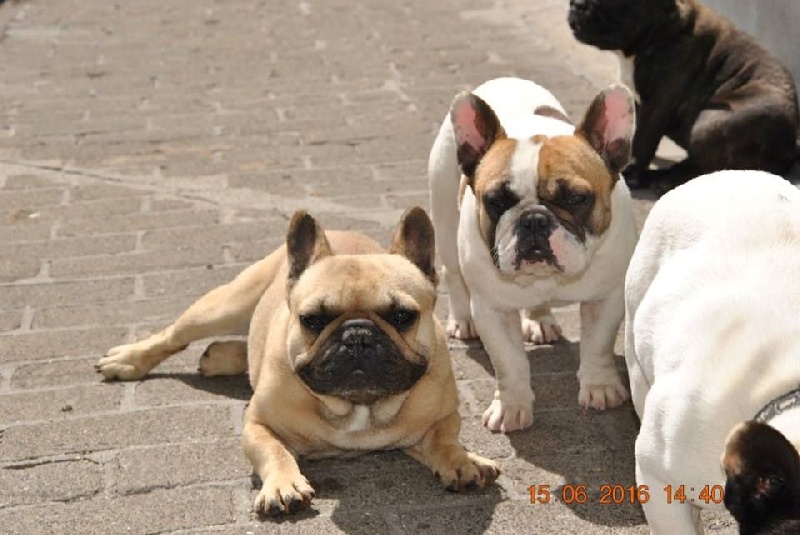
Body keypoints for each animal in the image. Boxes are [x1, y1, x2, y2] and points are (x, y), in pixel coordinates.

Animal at [95, 207, 500, 516]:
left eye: (402, 316)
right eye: (312, 320)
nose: (357, 335)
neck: (360, 407)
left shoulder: (440, 417)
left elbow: (444, 439)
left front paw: (463, 461)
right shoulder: (258, 424)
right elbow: (274, 451)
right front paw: (283, 486)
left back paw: (220, 356)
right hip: (223, 306)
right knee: (173, 335)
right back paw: (128, 359)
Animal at [428, 77, 639, 433]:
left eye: (576, 198)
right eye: (496, 200)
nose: (534, 220)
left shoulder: (606, 298)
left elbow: (597, 344)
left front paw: (600, 387)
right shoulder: (493, 309)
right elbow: (509, 362)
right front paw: (511, 407)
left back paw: (540, 320)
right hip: (444, 218)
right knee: (453, 274)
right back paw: (462, 320)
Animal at [568, 0, 800, 194]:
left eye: (611, 2)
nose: (576, 4)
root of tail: (789, 143)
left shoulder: (658, 104)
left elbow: (644, 138)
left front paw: (632, 172)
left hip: (707, 123)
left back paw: (663, 179)